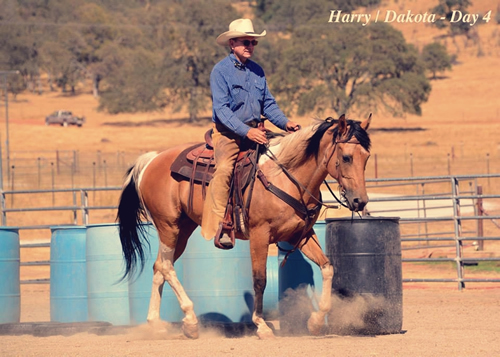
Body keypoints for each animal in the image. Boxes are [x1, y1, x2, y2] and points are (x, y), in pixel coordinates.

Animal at [117, 113, 372, 336]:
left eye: (367, 157)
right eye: (347, 157)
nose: (360, 201)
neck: (285, 176)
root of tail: (151, 160)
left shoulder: (301, 234)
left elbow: (327, 267)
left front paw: (316, 321)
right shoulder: (260, 234)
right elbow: (260, 280)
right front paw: (261, 325)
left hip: (183, 230)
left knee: (159, 266)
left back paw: (156, 323)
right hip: (168, 225)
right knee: (167, 267)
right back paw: (190, 320)